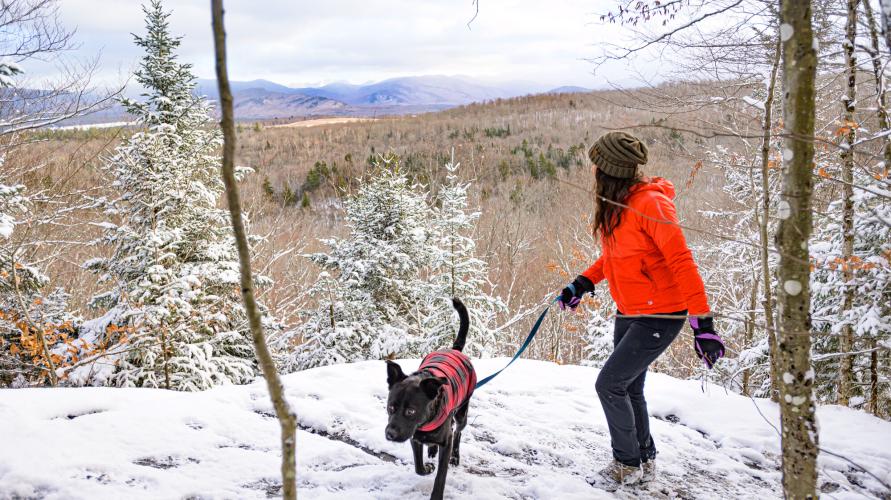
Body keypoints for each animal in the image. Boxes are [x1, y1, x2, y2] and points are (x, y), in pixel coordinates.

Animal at [386, 298, 478, 498]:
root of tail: (455, 349)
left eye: (410, 411)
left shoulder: (446, 442)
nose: (389, 434)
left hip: (462, 413)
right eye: (390, 408)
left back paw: (455, 456)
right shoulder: (414, 437)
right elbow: (418, 467)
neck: (426, 421)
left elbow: (440, 476)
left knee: (458, 432)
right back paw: (431, 449)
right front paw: (427, 467)